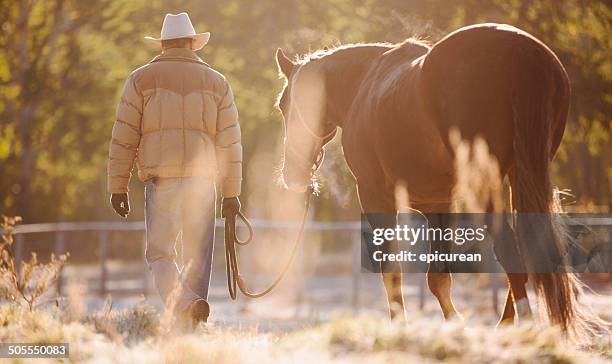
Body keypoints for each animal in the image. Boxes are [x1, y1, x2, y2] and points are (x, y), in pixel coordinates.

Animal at [274, 22, 592, 336]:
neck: (364, 85)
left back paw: (519, 326)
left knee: (510, 251)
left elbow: (391, 270)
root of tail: (521, 51)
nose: (293, 173)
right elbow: (438, 278)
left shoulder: (376, 196)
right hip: (522, 176)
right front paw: (455, 325)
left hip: (485, 184)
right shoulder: (438, 203)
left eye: (285, 104)